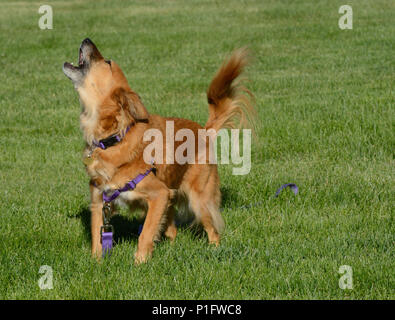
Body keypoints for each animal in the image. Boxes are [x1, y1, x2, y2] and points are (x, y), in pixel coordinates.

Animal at [63, 38, 255, 262]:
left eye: (107, 62)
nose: (87, 40)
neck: (114, 138)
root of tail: (204, 131)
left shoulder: (159, 195)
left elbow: (145, 233)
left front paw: (140, 262)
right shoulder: (99, 201)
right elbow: (97, 237)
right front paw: (97, 262)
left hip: (200, 200)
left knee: (213, 230)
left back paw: (215, 251)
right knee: (172, 231)